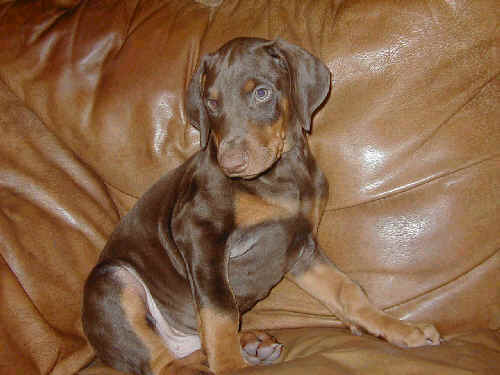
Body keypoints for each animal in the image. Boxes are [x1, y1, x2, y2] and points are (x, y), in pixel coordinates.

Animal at [83, 36, 442, 375]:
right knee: (161, 361)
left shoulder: (301, 248)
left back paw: (252, 343)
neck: (280, 175)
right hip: (113, 280)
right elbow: (219, 310)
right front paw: (231, 368)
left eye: (261, 93)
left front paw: (399, 329)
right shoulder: (200, 233)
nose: (231, 164)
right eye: (211, 102)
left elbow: (347, 291)